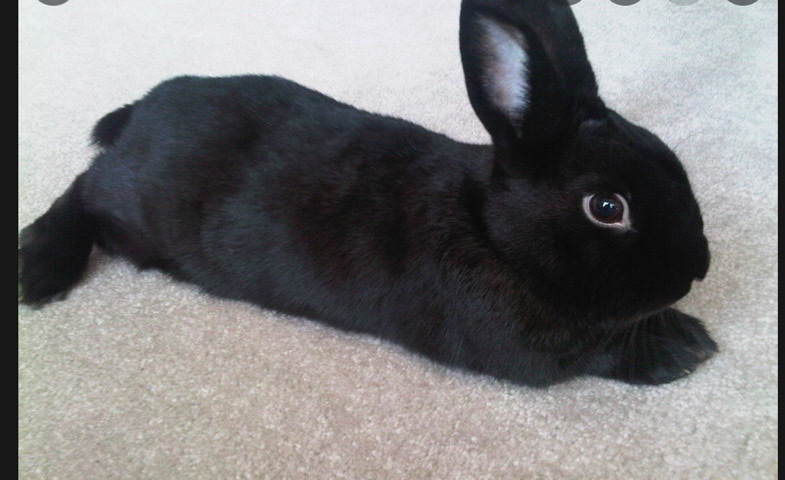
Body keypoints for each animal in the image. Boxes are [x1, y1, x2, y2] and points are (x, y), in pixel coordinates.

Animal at [18, 0, 717, 387]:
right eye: (607, 208)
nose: (698, 269)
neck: (492, 231)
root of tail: (138, 115)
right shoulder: (526, 350)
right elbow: (598, 352)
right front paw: (686, 348)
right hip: (134, 209)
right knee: (83, 189)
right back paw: (38, 268)